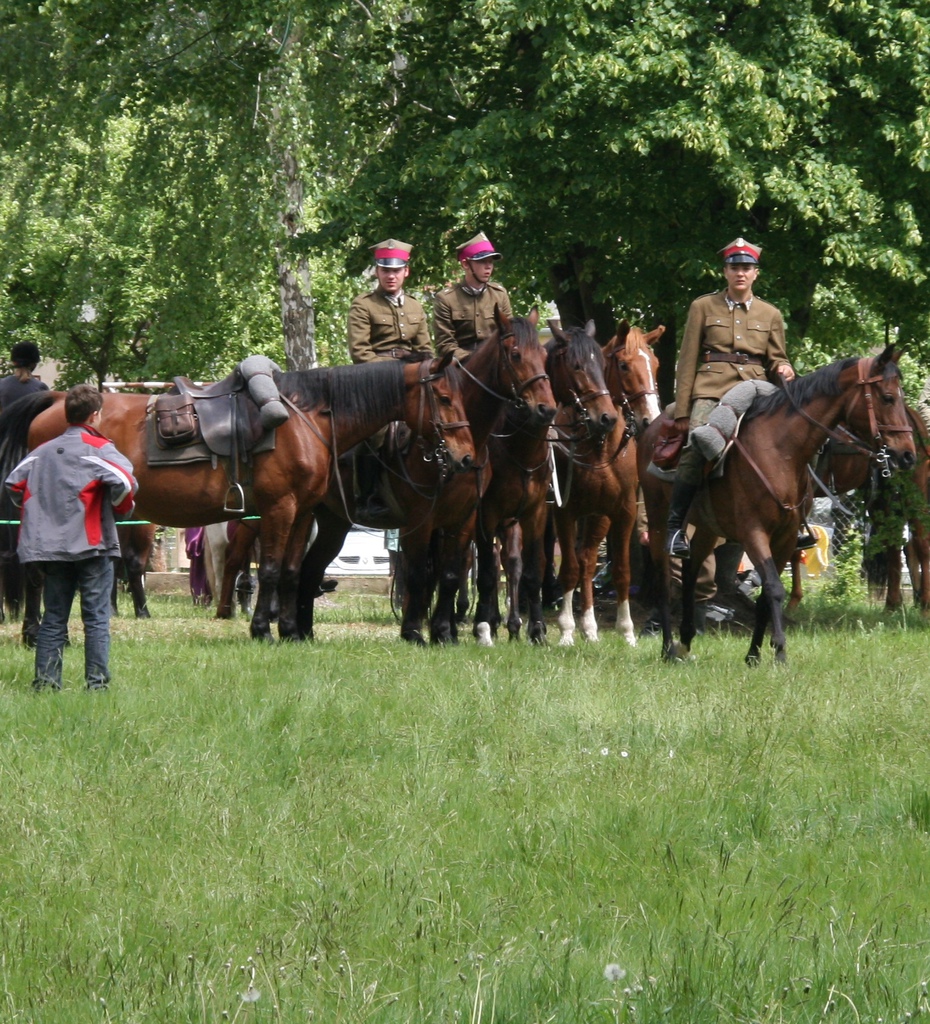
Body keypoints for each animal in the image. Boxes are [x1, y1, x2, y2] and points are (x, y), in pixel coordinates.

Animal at [0, 354, 473, 638]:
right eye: (444, 396)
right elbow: (270, 571)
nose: (466, 456)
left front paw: (289, 630)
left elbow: (290, 571)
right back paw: (33, 632)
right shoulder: (279, 509)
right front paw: (262, 628)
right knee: (39, 570)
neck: (308, 417)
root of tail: (55, 400)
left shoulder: (303, 513)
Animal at [297, 309, 561, 647]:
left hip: (334, 521)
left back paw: (303, 631)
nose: (546, 408)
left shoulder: (464, 518)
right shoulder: (422, 519)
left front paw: (444, 633)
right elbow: (418, 574)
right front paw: (413, 631)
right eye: (515, 354)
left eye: (544, 356)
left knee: (310, 568)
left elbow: (450, 575)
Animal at [473, 317, 618, 647]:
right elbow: (487, 572)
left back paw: (511, 623)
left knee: (511, 562)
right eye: (576, 365)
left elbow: (532, 569)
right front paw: (484, 628)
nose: (607, 417)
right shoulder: (486, 515)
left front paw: (535, 629)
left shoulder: (536, 512)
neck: (518, 444)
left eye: (603, 364)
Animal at [553, 319, 667, 643]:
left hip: (598, 516)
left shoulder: (623, 510)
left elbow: (621, 571)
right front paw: (566, 631)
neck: (599, 445)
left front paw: (626, 632)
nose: (650, 419)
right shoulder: (564, 512)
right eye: (624, 365)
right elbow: (568, 569)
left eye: (655, 364)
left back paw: (591, 628)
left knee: (588, 559)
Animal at [639, 344, 913, 663]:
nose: (908, 455)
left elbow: (768, 592)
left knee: (692, 570)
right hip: (658, 520)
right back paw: (668, 647)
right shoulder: (753, 532)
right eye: (888, 397)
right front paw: (779, 650)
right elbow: (773, 586)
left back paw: (685, 640)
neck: (780, 450)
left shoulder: (785, 537)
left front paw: (754, 655)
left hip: (708, 527)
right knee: (663, 582)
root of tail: (652, 429)